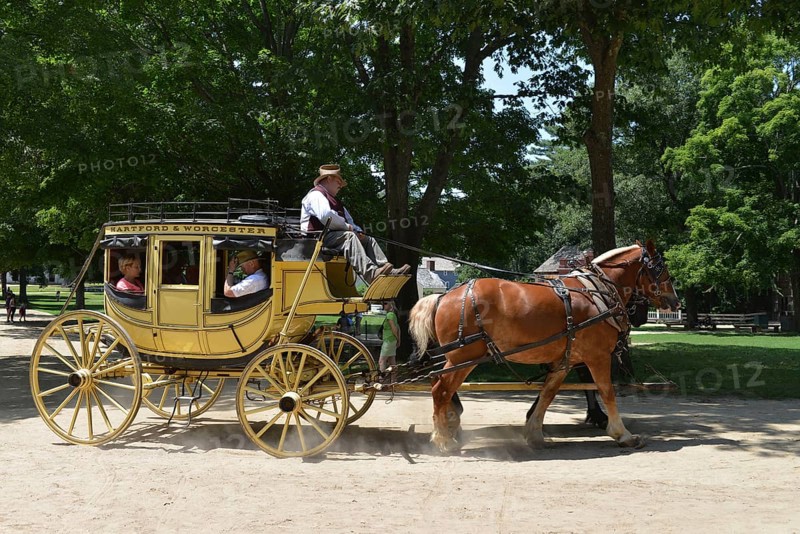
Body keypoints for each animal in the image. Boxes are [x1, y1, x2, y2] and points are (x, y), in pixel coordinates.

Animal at [409, 240, 679, 452]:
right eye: (660, 268)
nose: (675, 301)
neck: (597, 293)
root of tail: (444, 296)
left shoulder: (565, 360)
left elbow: (548, 394)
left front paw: (534, 432)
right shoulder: (598, 356)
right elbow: (607, 391)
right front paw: (622, 434)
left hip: (459, 358)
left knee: (440, 386)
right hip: (464, 356)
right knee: (441, 390)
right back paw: (443, 439)